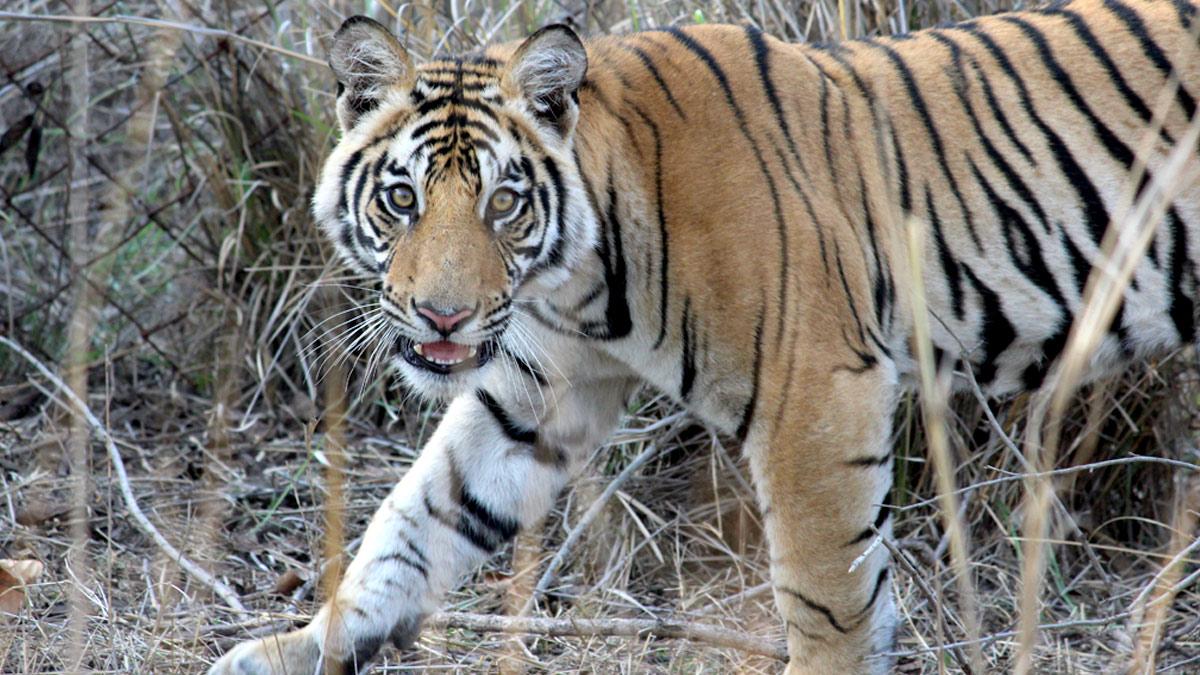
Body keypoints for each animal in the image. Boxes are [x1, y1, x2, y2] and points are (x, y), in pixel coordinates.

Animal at [208, 1, 1200, 672]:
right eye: (401, 197)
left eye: (503, 201)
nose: (442, 316)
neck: (576, 280)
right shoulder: (534, 391)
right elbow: (417, 521)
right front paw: (299, 644)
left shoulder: (818, 395)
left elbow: (829, 594)